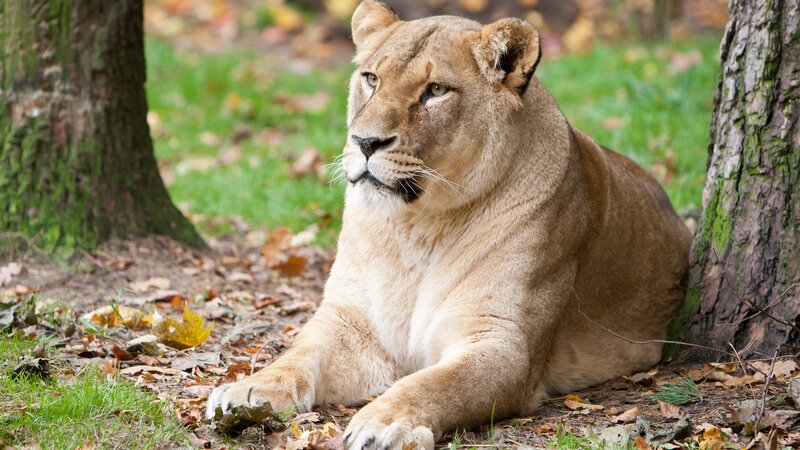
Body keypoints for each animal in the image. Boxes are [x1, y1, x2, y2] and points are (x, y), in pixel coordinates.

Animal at [206, 1, 692, 448]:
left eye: (435, 90)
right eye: (371, 78)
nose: (364, 141)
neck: (416, 227)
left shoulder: (503, 343)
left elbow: (436, 383)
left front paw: (386, 423)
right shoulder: (351, 322)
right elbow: (298, 354)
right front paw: (247, 390)